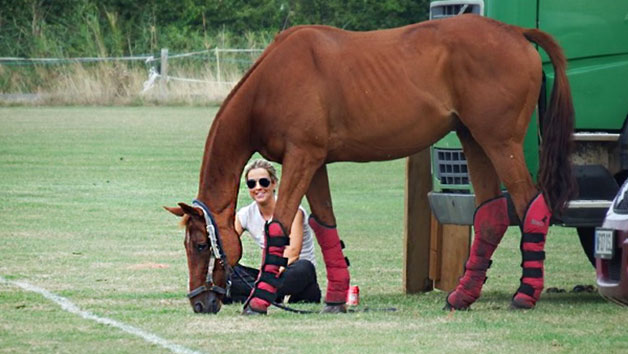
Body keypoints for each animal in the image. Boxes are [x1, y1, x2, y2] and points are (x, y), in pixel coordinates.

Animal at [166, 15, 576, 316]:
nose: (200, 303)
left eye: (201, 245)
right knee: (491, 215)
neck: (271, 84)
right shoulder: (314, 163)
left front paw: (259, 300)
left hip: (500, 144)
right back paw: (462, 296)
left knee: (530, 205)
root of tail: (515, 32)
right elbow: (325, 225)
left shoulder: (302, 158)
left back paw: (525, 295)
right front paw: (335, 298)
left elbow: (279, 226)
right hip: (474, 140)